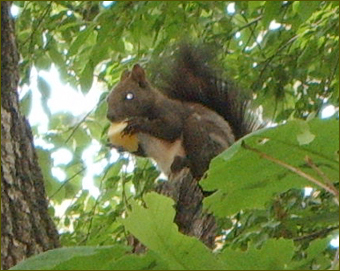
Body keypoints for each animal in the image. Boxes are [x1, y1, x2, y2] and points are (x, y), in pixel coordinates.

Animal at [106, 43, 255, 180]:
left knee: (202, 163)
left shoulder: (169, 110)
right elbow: (141, 152)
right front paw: (116, 146)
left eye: (129, 96)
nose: (110, 116)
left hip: (203, 136)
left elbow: (171, 128)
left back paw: (184, 162)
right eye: (108, 98)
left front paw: (138, 123)